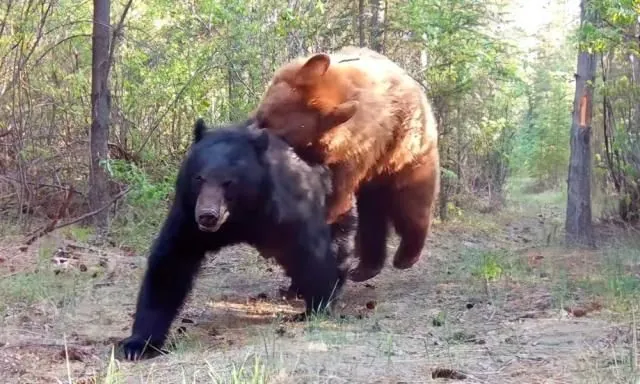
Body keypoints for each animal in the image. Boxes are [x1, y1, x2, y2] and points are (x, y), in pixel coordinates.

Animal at [120, 119, 358, 360]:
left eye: (228, 182)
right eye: (199, 178)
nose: (207, 215)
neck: (240, 218)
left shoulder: (288, 210)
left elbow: (311, 252)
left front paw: (317, 307)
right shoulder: (188, 219)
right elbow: (170, 264)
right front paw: (139, 343)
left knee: (338, 245)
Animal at [254, 47, 440, 282]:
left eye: (286, 137)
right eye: (263, 117)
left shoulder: (354, 151)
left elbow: (335, 199)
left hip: (405, 153)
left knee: (411, 203)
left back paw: (405, 257)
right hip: (374, 178)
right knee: (372, 217)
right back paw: (365, 268)